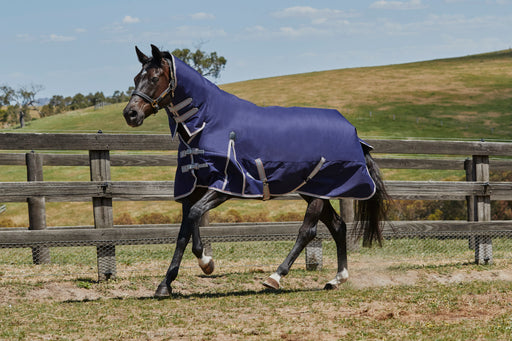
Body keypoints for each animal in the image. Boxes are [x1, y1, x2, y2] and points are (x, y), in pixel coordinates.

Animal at [124, 45, 388, 298]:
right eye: (136, 77)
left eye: (155, 77)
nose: (130, 114)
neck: (207, 123)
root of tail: (354, 134)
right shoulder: (195, 186)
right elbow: (186, 227)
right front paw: (169, 282)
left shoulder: (227, 185)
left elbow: (194, 216)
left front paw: (203, 264)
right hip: (314, 190)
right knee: (338, 226)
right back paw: (337, 279)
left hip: (320, 192)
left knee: (308, 231)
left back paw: (275, 277)